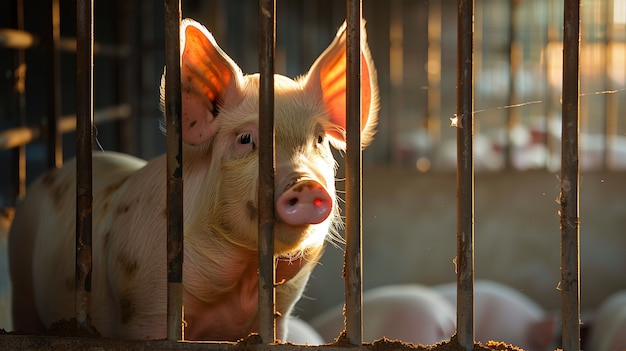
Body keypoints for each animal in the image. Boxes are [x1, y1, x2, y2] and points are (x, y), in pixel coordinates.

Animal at [7, 18, 378, 340]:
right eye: (245, 139)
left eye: (319, 139)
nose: (305, 183)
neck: (241, 280)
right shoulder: (146, 306)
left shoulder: (280, 315)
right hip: (21, 277)